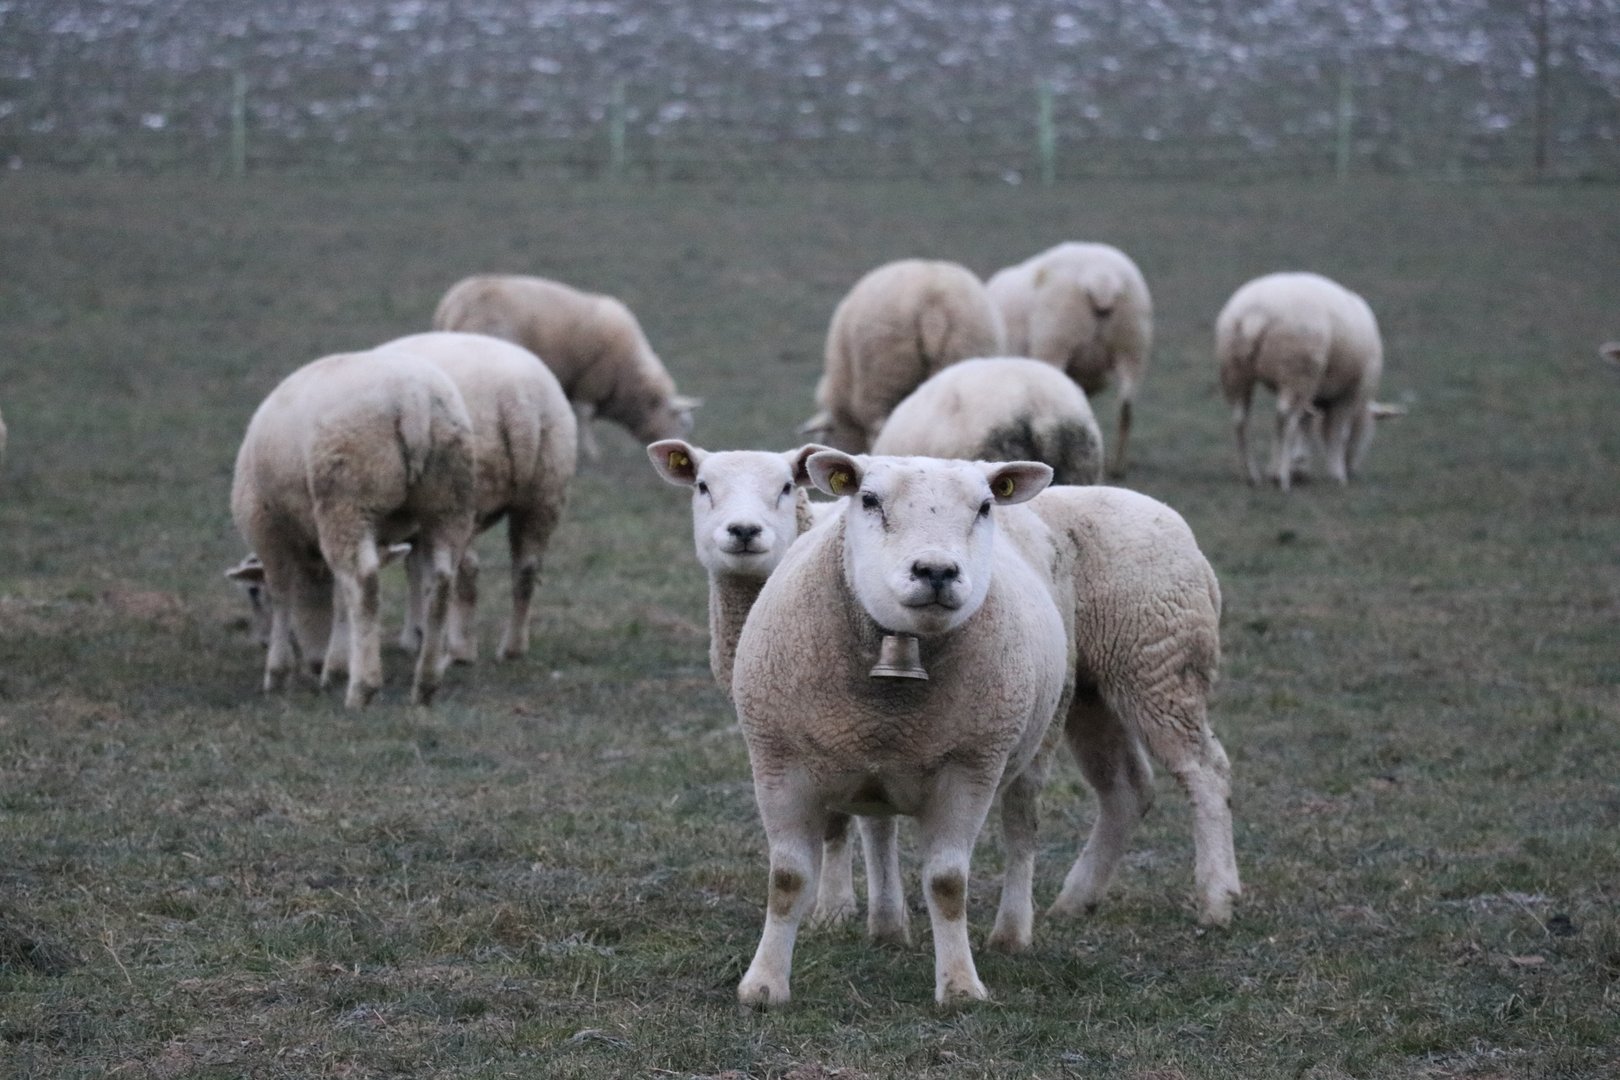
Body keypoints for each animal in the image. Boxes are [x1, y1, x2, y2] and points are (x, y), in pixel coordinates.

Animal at [230, 346, 476, 708]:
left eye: (252, 593)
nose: (315, 662)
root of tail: (414, 398)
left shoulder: (265, 525)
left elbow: (282, 593)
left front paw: (277, 673)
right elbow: (342, 599)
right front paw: (335, 667)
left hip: (347, 496)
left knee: (364, 581)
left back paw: (363, 688)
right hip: (449, 501)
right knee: (441, 581)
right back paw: (425, 685)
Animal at [379, 332, 578, 663]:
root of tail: (517, 400)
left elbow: (417, 571)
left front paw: (415, 636)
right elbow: (416, 570)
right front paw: (417, 635)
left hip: (469, 495)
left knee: (468, 571)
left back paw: (461, 650)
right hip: (547, 486)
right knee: (527, 570)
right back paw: (512, 648)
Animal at [728, 452, 1073, 1006]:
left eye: (984, 506)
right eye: (869, 500)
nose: (936, 571)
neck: (890, 701)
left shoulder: (972, 768)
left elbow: (948, 884)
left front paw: (960, 986)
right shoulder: (778, 762)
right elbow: (787, 880)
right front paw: (763, 986)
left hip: (1043, 734)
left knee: (1022, 829)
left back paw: (1011, 933)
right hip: (869, 767)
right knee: (879, 828)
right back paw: (888, 926)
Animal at [1215, 271, 1384, 491]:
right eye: (1369, 434)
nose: (1352, 470)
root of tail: (1255, 314)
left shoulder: (1316, 396)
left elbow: (1306, 424)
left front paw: (1300, 467)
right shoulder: (1350, 392)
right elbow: (1337, 433)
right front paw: (1336, 474)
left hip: (1235, 370)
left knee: (1240, 419)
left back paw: (1252, 475)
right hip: (1297, 370)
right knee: (1285, 417)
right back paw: (1281, 477)